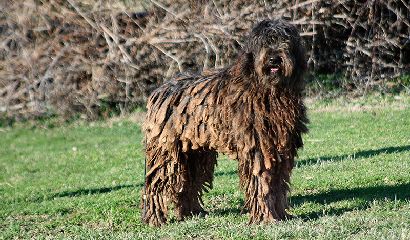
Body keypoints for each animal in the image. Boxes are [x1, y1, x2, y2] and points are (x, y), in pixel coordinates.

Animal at [141, 19, 308, 227]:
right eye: (264, 43)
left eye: (285, 41)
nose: (274, 59)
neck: (268, 90)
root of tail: (158, 91)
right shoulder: (258, 148)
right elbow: (261, 183)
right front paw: (266, 218)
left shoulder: (279, 148)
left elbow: (276, 184)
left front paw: (281, 215)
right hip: (166, 151)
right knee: (156, 184)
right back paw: (154, 219)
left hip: (194, 152)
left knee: (187, 182)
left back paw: (191, 212)